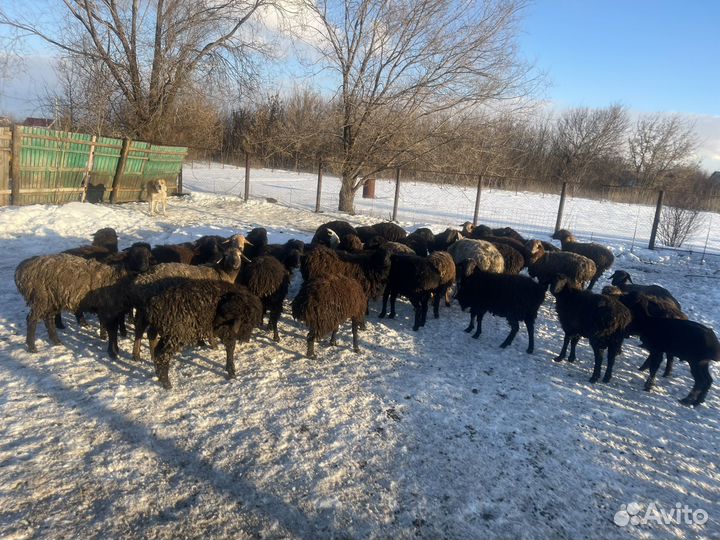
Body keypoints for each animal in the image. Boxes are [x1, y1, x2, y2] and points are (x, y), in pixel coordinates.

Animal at [14, 245, 152, 352]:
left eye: (148, 256)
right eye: (134, 256)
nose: (144, 266)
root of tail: (21, 270)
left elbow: (117, 325)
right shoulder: (109, 308)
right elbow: (111, 330)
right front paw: (110, 346)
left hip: (53, 300)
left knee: (48, 319)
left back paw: (57, 341)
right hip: (40, 298)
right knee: (31, 320)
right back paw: (32, 347)